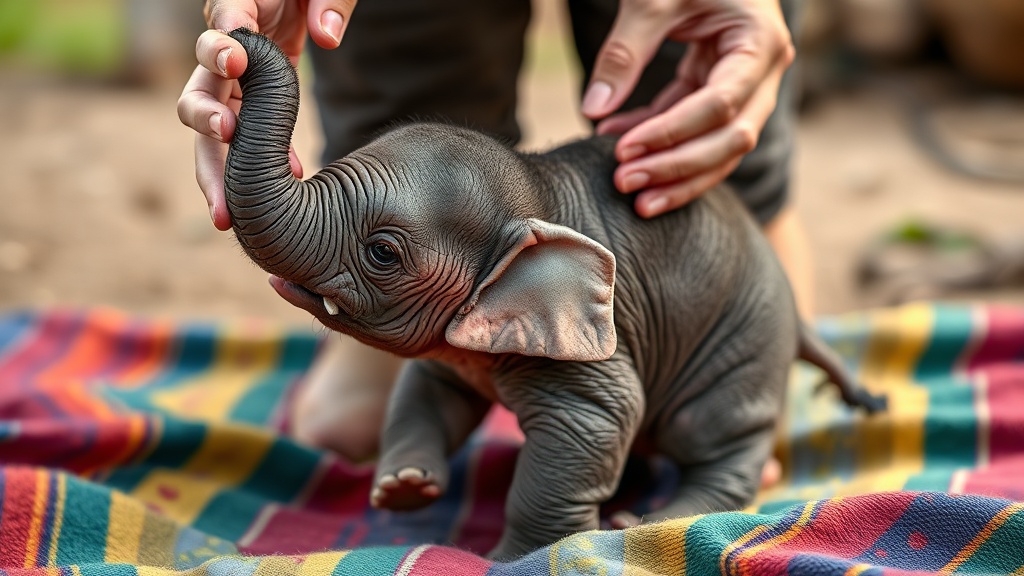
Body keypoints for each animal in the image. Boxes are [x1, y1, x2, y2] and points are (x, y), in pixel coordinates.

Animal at [222, 28, 885, 560]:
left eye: (383, 253)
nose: (234, 40)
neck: (534, 193)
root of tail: (796, 316)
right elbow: (426, 392)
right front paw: (405, 488)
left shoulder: (596, 347)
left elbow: (593, 424)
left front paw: (507, 558)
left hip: (742, 345)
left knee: (717, 437)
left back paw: (649, 519)